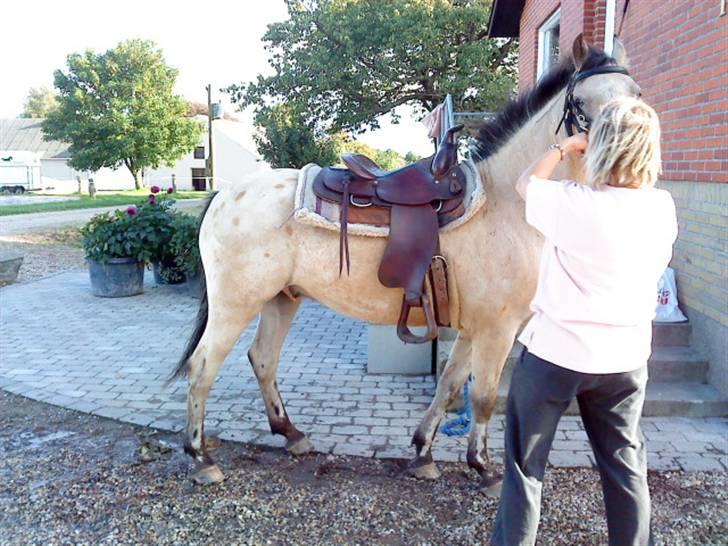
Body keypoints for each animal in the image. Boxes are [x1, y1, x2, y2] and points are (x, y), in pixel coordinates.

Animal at [169, 36, 636, 486]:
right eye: (580, 103)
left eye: (636, 96)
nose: (621, 155)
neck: (509, 201)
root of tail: (224, 194)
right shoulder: (498, 328)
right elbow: (483, 398)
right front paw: (484, 469)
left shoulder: (474, 327)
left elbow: (449, 385)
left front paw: (423, 453)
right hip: (236, 304)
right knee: (203, 366)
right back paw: (200, 458)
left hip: (281, 298)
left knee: (263, 359)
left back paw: (292, 434)